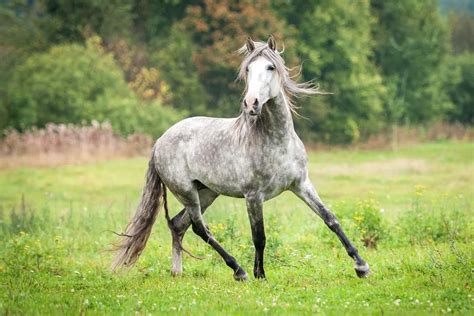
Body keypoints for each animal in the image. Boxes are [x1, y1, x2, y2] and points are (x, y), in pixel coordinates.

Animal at [114, 35, 370, 280]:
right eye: (248, 69)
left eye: (270, 67)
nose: (251, 103)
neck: (277, 142)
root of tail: (160, 141)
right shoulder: (253, 196)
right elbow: (259, 236)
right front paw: (260, 275)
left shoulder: (301, 184)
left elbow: (330, 219)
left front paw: (362, 266)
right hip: (187, 193)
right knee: (200, 229)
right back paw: (239, 271)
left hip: (207, 192)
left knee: (179, 225)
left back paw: (178, 272)